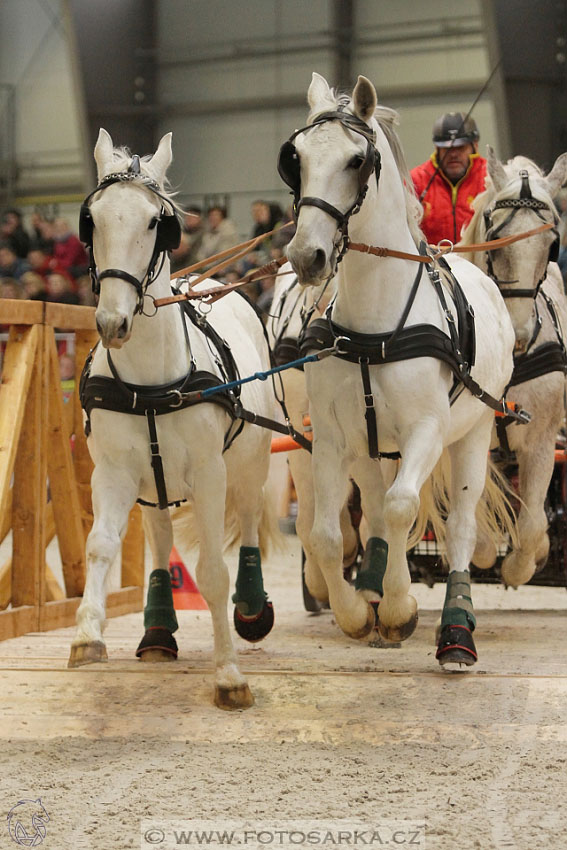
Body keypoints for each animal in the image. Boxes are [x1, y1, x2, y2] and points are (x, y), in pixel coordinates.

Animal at [67, 127, 276, 708]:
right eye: (91, 220)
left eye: (155, 223)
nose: (112, 323)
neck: (149, 384)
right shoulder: (112, 472)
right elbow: (99, 546)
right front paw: (87, 633)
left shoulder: (209, 473)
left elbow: (212, 571)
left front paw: (229, 674)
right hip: (151, 483)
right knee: (160, 537)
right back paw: (158, 629)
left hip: (248, 464)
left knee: (249, 517)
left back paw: (252, 608)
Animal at [284, 74, 520, 664]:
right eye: (297, 159)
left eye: (357, 161)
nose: (306, 257)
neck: (375, 326)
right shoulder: (330, 438)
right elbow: (326, 535)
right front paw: (354, 612)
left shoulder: (426, 431)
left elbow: (401, 508)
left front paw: (398, 610)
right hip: (371, 447)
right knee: (368, 505)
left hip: (472, 434)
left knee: (458, 528)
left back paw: (456, 629)